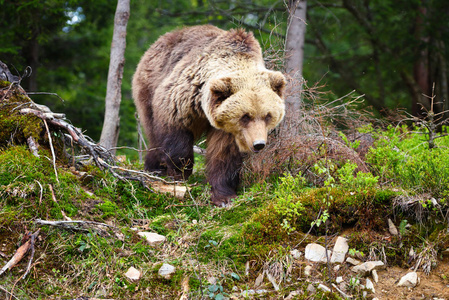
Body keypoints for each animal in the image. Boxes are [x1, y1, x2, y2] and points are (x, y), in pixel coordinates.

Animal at [133, 25, 286, 206]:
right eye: (245, 116)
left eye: (267, 116)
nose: (259, 144)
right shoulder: (184, 97)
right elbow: (176, 136)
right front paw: (179, 173)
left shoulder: (228, 129)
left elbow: (223, 156)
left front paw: (224, 196)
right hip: (149, 85)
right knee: (153, 132)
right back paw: (155, 168)